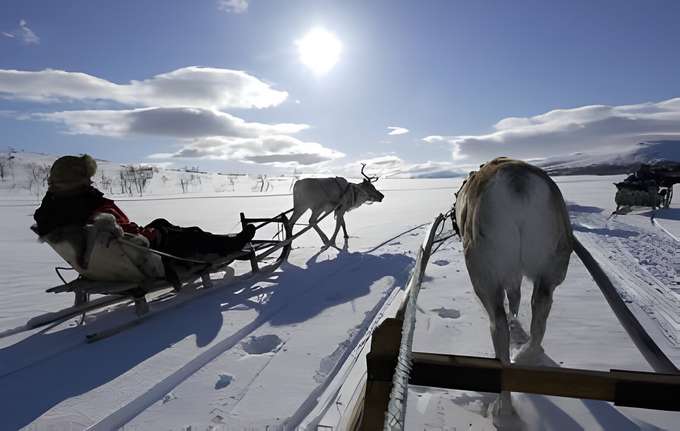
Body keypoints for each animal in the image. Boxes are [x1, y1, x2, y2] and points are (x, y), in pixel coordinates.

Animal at [453, 157, 573, 418]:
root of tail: (518, 182)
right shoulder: (517, 275)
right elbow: (516, 297)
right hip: (551, 270)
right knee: (539, 316)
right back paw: (528, 354)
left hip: (484, 276)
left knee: (498, 327)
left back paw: (503, 408)